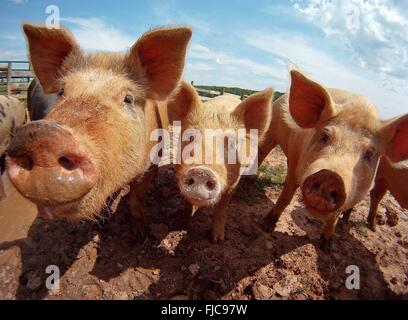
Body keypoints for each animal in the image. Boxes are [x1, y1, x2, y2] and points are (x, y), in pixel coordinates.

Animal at [6, 22, 191, 228]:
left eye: (128, 98)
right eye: (61, 91)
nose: (43, 137)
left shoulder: (148, 167)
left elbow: (136, 197)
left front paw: (139, 230)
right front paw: (101, 223)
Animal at [166, 82, 274, 242]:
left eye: (232, 143)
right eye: (190, 137)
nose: (201, 171)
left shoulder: (234, 182)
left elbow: (222, 206)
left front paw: (217, 239)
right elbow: (188, 203)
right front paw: (184, 221)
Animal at [260, 70, 406, 252]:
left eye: (369, 154)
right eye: (324, 136)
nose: (330, 176)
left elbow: (334, 218)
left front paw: (326, 248)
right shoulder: (295, 164)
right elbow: (286, 197)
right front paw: (265, 227)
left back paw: (371, 227)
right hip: (271, 130)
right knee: (262, 151)